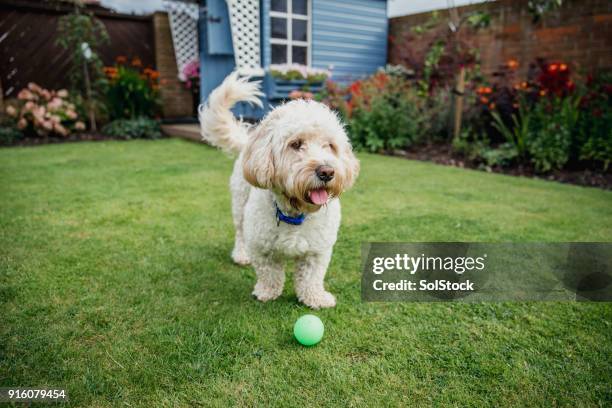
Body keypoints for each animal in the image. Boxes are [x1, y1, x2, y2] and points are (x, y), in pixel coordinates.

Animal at [198, 73, 358, 310]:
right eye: (296, 144)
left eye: (329, 145)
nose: (327, 172)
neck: (296, 213)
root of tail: (249, 141)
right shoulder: (261, 247)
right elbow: (269, 273)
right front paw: (267, 292)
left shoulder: (318, 251)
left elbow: (311, 278)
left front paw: (315, 298)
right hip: (240, 205)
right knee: (240, 232)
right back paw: (241, 254)